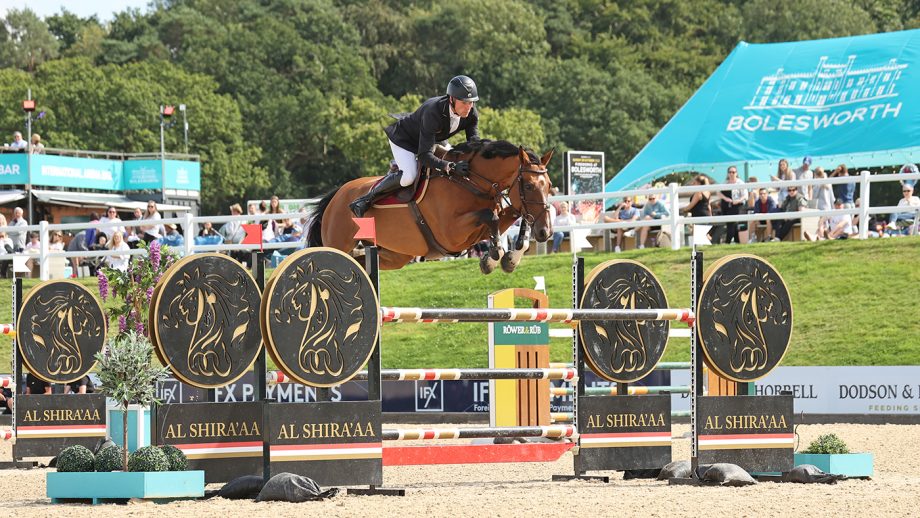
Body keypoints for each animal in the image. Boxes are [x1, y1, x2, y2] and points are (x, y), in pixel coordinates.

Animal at [310, 140, 552, 274]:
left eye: (548, 185)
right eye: (529, 186)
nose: (545, 232)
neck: (470, 181)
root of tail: (336, 196)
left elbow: (511, 215)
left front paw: (510, 258)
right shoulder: (451, 235)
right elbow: (489, 216)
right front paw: (493, 256)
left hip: (394, 256)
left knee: (362, 262)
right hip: (339, 242)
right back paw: (359, 205)